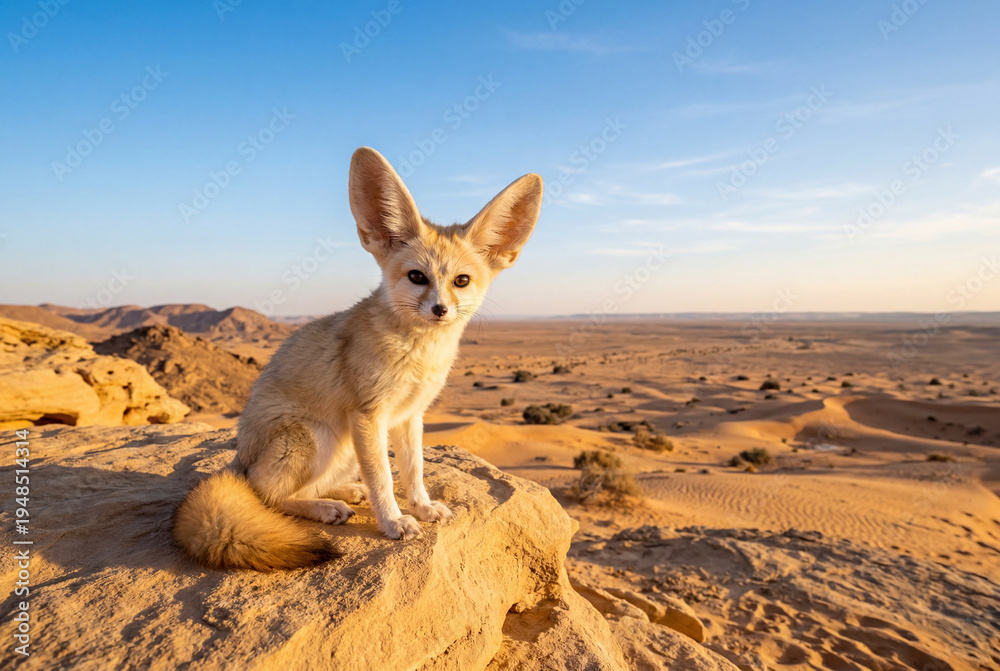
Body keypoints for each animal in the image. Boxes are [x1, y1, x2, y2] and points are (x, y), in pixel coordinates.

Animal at [172, 147, 543, 570]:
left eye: (461, 281)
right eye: (417, 277)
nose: (440, 310)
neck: (418, 354)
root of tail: (238, 460)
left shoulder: (410, 415)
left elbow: (414, 469)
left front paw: (422, 507)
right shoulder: (369, 415)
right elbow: (384, 478)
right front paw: (394, 521)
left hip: (345, 448)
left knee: (306, 486)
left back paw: (344, 493)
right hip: (316, 436)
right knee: (266, 495)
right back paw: (324, 508)